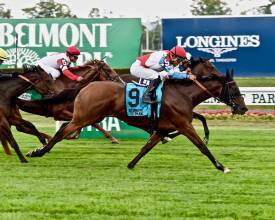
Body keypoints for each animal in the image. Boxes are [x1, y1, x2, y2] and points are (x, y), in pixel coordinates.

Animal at [27, 59, 249, 173]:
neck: (183, 92)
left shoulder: (163, 128)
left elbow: (146, 147)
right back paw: (37, 151)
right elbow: (202, 146)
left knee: (66, 130)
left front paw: (131, 164)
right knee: (62, 132)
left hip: (90, 117)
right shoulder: (184, 125)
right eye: (235, 89)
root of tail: (86, 86)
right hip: (85, 117)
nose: (243, 108)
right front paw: (221, 166)